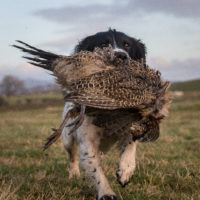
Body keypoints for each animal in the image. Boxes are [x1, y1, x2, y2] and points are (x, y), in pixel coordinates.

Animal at [61, 29, 146, 200]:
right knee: (72, 156)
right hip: (67, 138)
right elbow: (94, 168)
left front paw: (126, 170)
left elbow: (130, 143)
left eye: (127, 44)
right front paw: (106, 193)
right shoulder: (88, 141)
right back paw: (74, 174)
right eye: (103, 44)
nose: (121, 55)